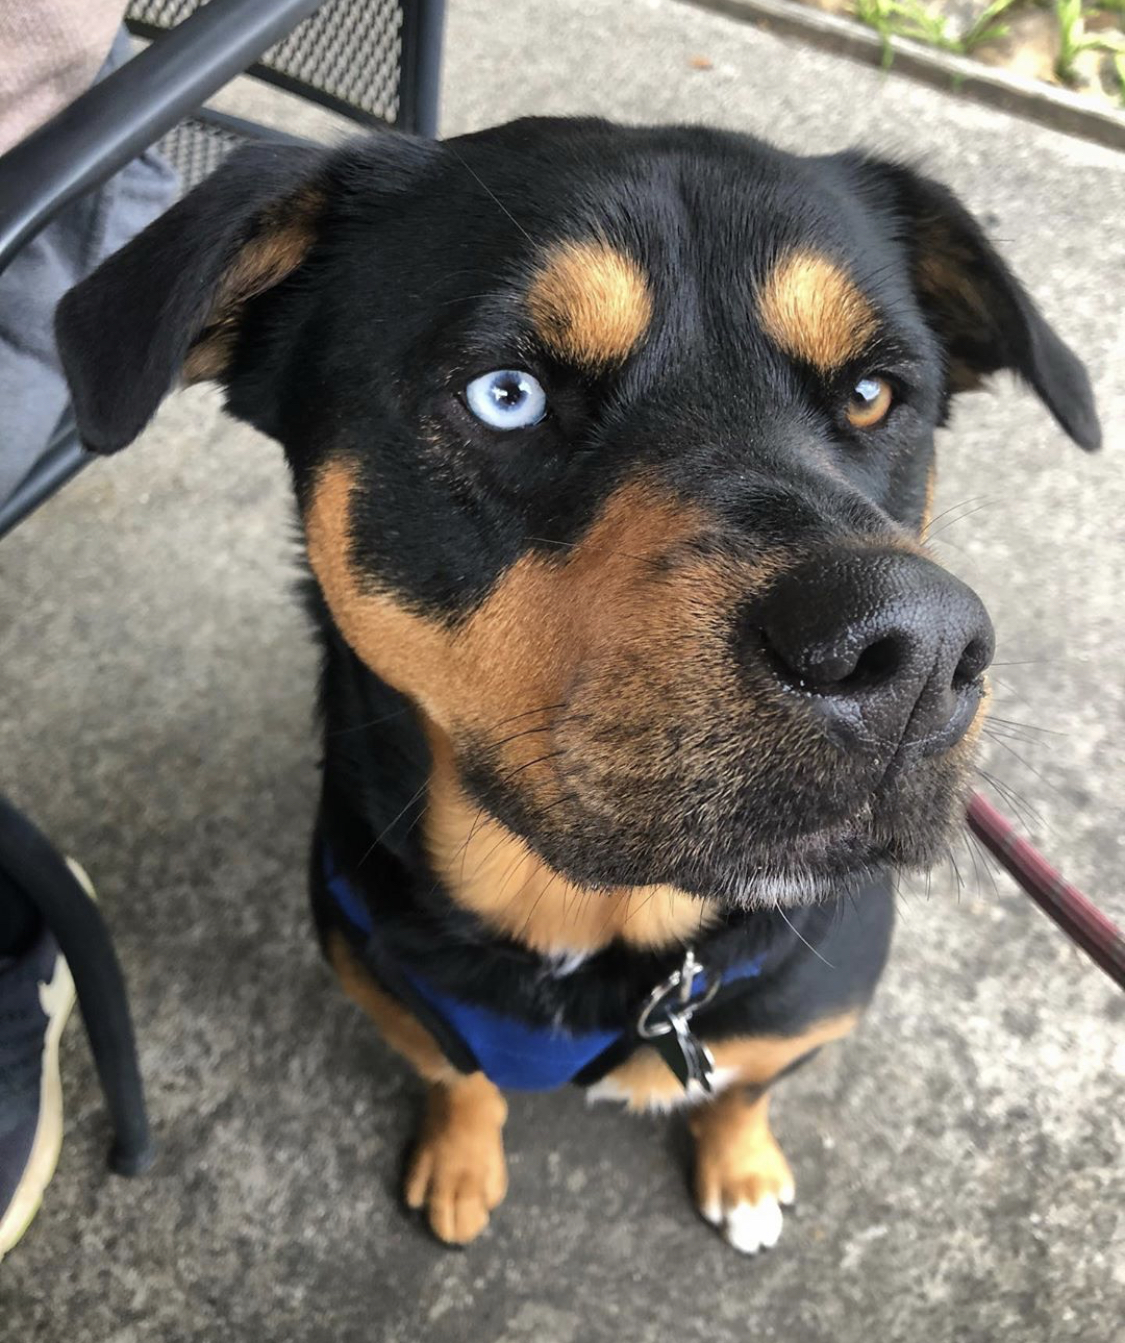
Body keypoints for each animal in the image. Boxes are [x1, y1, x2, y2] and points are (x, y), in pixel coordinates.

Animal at [55, 118, 1100, 1257]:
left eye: (872, 396)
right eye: (505, 394)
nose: (912, 651)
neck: (599, 940)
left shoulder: (807, 1008)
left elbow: (747, 1085)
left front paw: (742, 1164)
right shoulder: (384, 981)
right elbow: (456, 1072)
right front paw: (461, 1159)